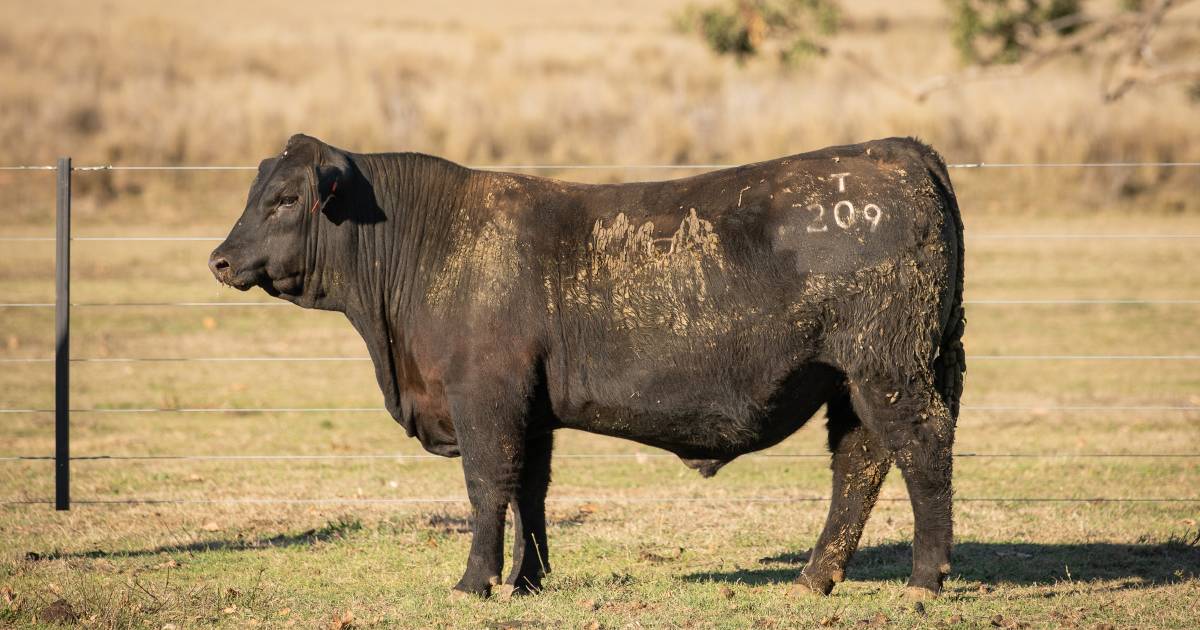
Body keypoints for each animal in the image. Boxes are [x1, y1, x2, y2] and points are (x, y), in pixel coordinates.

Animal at [211, 133, 964, 600]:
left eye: (284, 199)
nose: (219, 259)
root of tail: (896, 151)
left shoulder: (484, 398)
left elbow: (487, 486)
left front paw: (476, 581)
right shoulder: (531, 409)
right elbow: (530, 491)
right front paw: (528, 579)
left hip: (891, 370)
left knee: (921, 452)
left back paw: (924, 580)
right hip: (860, 378)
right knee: (859, 466)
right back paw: (814, 577)